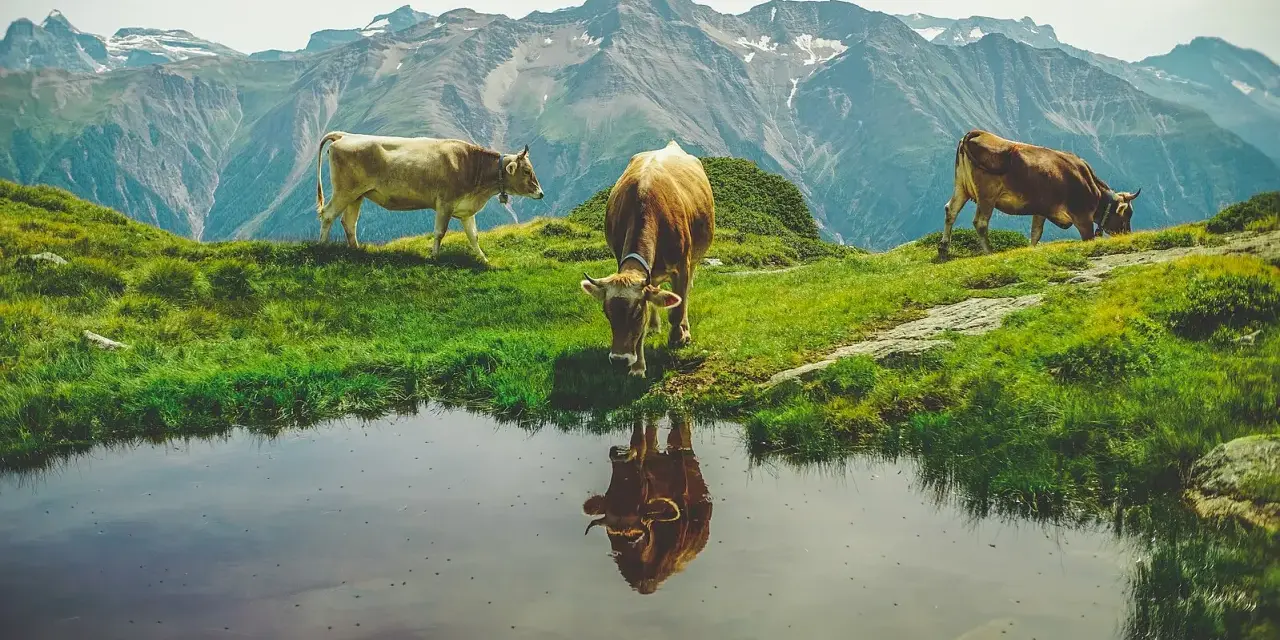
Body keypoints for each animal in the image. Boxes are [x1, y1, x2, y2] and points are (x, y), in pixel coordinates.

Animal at [315, 132, 544, 262]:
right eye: (526, 171)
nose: (541, 193)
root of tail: (345, 136)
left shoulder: (465, 209)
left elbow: (473, 236)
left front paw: (483, 259)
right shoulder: (445, 203)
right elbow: (439, 232)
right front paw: (434, 257)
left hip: (357, 195)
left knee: (349, 222)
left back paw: (356, 251)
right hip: (345, 191)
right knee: (328, 214)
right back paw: (322, 247)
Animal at [580, 141, 715, 377]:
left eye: (636, 313)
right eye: (606, 312)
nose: (619, 359)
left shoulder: (682, 267)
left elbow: (677, 309)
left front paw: (677, 339)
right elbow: (646, 319)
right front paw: (637, 367)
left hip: (693, 261)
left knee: (684, 296)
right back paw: (654, 325)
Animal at [582, 414, 712, 595]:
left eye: (642, 479)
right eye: (610, 487)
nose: (619, 455)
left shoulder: (678, 474)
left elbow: (674, 440)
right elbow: (639, 436)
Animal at [940, 129, 1141, 259]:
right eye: (1126, 215)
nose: (1128, 235)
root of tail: (977, 133)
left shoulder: (1041, 210)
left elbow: (1036, 233)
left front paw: (1030, 250)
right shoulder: (1082, 217)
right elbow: (1087, 238)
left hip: (961, 186)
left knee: (951, 210)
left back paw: (943, 249)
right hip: (987, 194)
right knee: (980, 222)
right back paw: (990, 252)